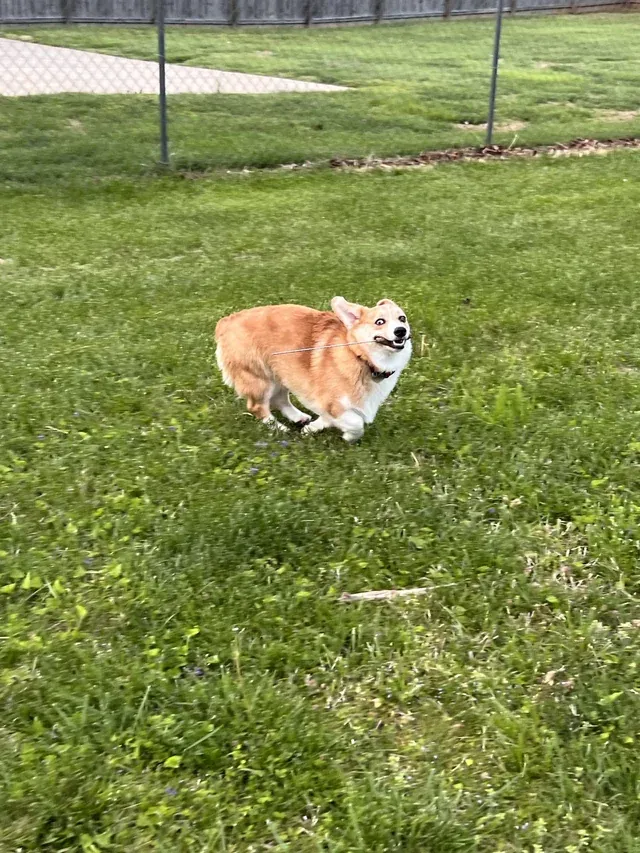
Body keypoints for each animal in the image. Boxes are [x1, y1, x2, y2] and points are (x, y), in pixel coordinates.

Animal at [215, 296, 411, 442]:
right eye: (380, 321)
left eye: (402, 318)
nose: (401, 331)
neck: (360, 357)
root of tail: (226, 321)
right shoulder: (333, 403)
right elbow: (355, 422)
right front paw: (349, 436)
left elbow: (327, 419)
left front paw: (311, 428)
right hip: (261, 379)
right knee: (257, 407)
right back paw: (279, 428)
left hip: (283, 372)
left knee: (280, 399)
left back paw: (298, 417)